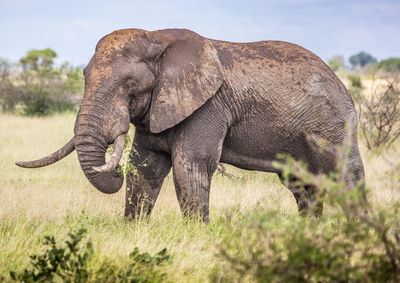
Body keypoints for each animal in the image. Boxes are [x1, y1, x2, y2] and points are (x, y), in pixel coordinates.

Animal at [16, 28, 366, 223]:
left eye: (130, 85)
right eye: (84, 75)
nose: (112, 173)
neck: (158, 40)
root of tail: (340, 80)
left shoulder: (207, 106)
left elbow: (191, 164)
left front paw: (196, 231)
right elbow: (145, 167)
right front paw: (133, 227)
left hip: (334, 125)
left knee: (346, 175)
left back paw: (357, 231)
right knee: (302, 184)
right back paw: (309, 231)